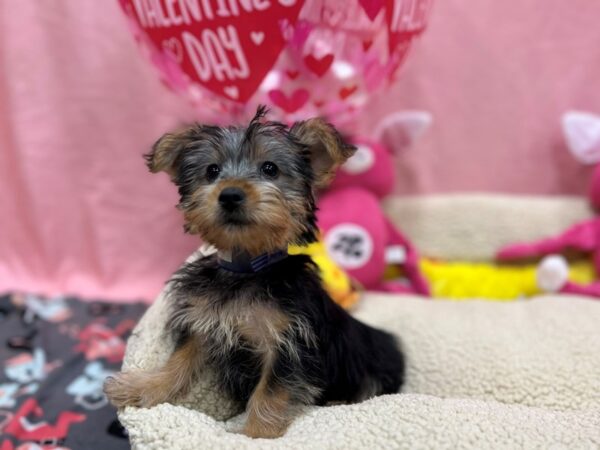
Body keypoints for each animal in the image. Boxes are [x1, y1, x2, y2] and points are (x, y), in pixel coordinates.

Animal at [104, 106, 404, 440]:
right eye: (212, 171)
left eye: (270, 169)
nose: (230, 194)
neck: (246, 267)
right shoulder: (204, 322)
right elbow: (180, 358)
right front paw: (146, 385)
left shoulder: (288, 342)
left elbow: (269, 391)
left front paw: (256, 434)